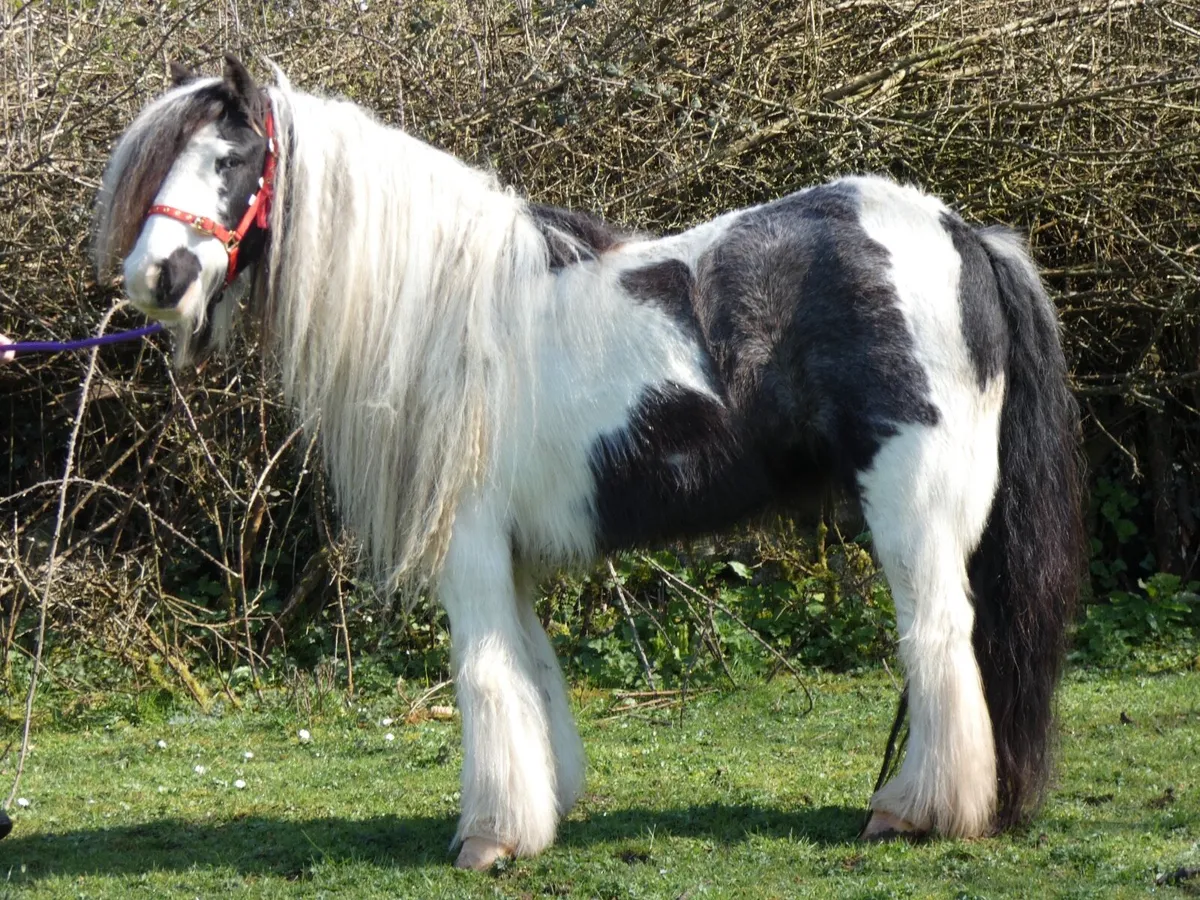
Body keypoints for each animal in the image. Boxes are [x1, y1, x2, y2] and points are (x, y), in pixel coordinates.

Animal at [93, 55, 1082, 870]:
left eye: (231, 161)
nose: (155, 279)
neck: (438, 308)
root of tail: (963, 234)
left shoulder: (469, 547)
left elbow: (484, 675)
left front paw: (490, 838)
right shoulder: (513, 555)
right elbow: (533, 674)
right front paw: (548, 806)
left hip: (913, 509)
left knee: (938, 640)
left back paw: (913, 811)